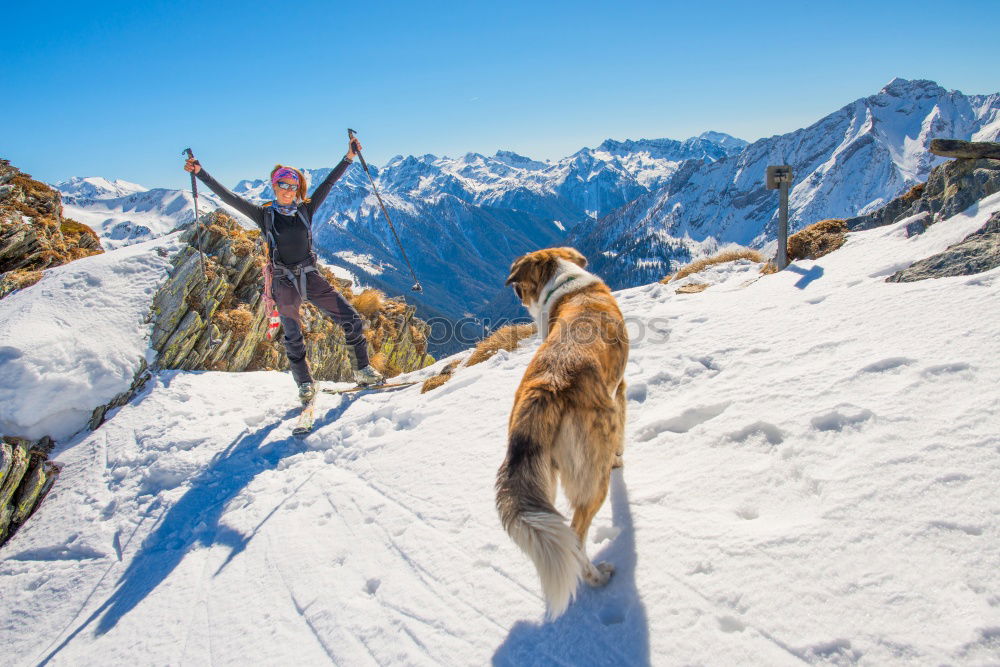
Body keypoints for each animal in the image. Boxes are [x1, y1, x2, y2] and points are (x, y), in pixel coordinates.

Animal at [498, 247, 628, 620]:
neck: (568, 284)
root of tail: (548, 387)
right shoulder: (620, 389)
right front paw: (620, 458)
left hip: (545, 475)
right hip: (591, 478)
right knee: (575, 535)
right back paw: (597, 577)